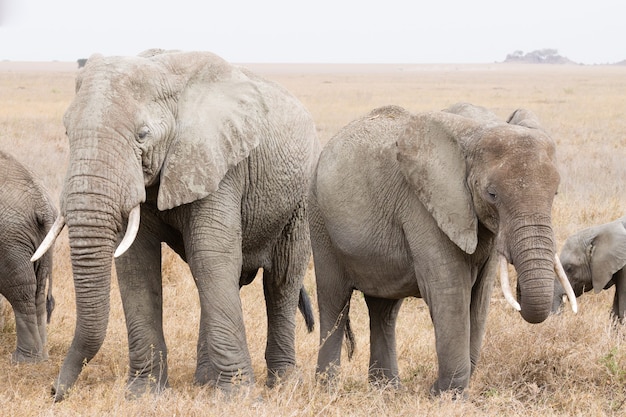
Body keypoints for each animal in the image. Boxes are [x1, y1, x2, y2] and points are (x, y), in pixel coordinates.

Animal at [0, 150, 56, 360]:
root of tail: (42, 204)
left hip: (10, 239)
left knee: (21, 291)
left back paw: (23, 359)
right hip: (40, 240)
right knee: (38, 290)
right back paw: (42, 356)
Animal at [31, 48, 320, 400]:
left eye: (142, 135)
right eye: (67, 132)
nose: (54, 391)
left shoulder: (218, 163)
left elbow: (212, 256)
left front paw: (238, 398)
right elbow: (136, 264)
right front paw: (142, 394)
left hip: (301, 197)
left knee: (281, 279)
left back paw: (283, 383)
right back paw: (205, 381)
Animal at [308, 102, 576, 394]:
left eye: (555, 194)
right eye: (492, 194)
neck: (477, 131)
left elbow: (479, 298)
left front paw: (448, 390)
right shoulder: (424, 205)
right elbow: (449, 290)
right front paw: (445, 394)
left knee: (384, 310)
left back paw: (387, 391)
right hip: (320, 221)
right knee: (334, 302)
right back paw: (327, 390)